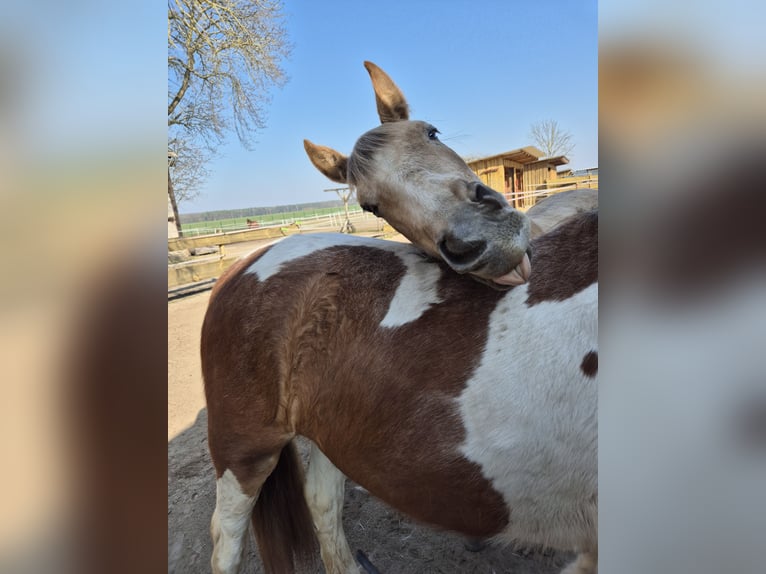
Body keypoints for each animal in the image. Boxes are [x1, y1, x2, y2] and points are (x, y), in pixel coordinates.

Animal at [203, 61, 598, 574]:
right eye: (369, 204)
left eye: (432, 133)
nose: (477, 239)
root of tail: (247, 261)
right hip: (244, 450)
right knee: (227, 538)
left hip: (330, 431)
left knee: (322, 502)